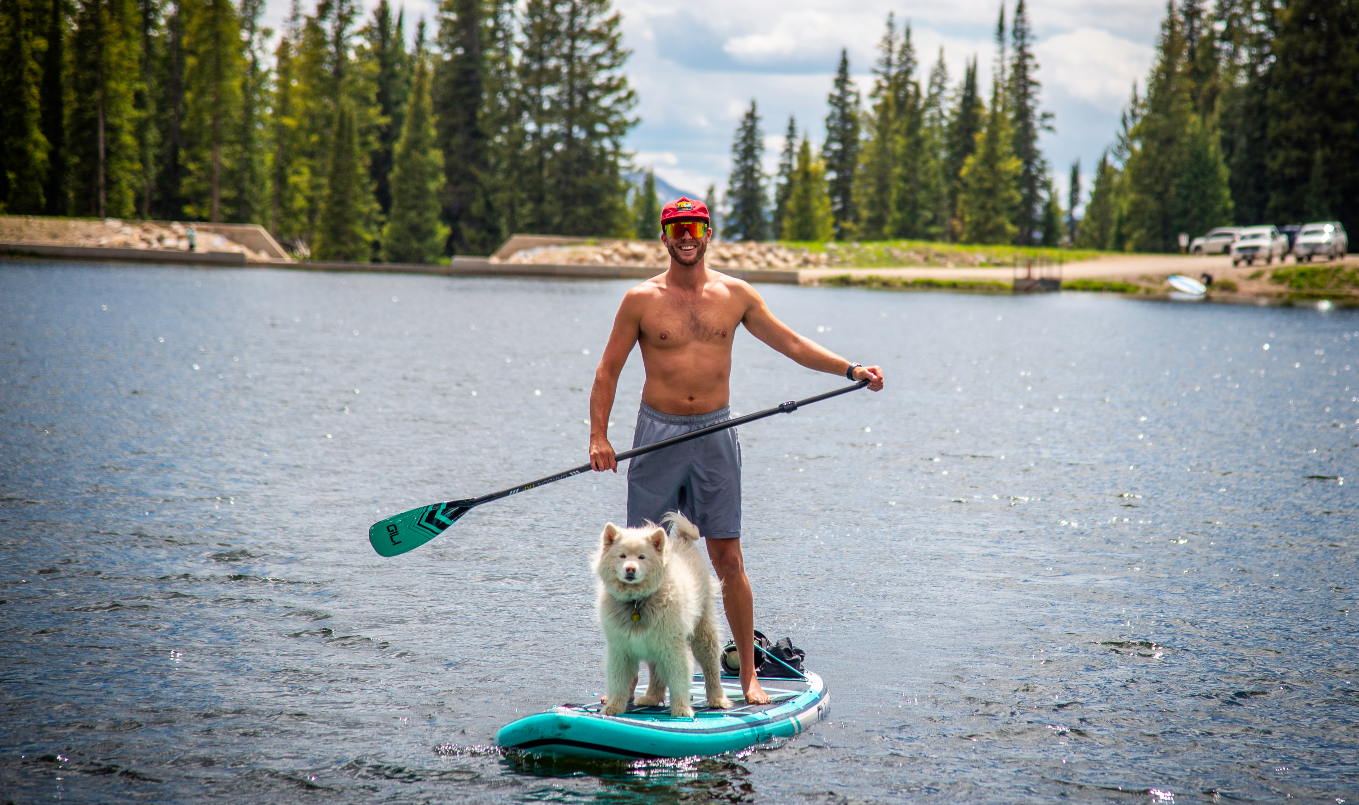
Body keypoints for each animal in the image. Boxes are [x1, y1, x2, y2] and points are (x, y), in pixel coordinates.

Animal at [595, 511, 733, 712]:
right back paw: (651, 697)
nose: (630, 568)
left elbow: (678, 679)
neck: (637, 602)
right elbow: (619, 682)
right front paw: (613, 708)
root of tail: (684, 542)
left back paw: (718, 699)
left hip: (701, 632)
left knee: (710, 666)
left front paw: (682, 710)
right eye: (622, 556)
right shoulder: (620, 648)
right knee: (656, 672)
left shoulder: (673, 644)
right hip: (654, 643)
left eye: (642, 557)